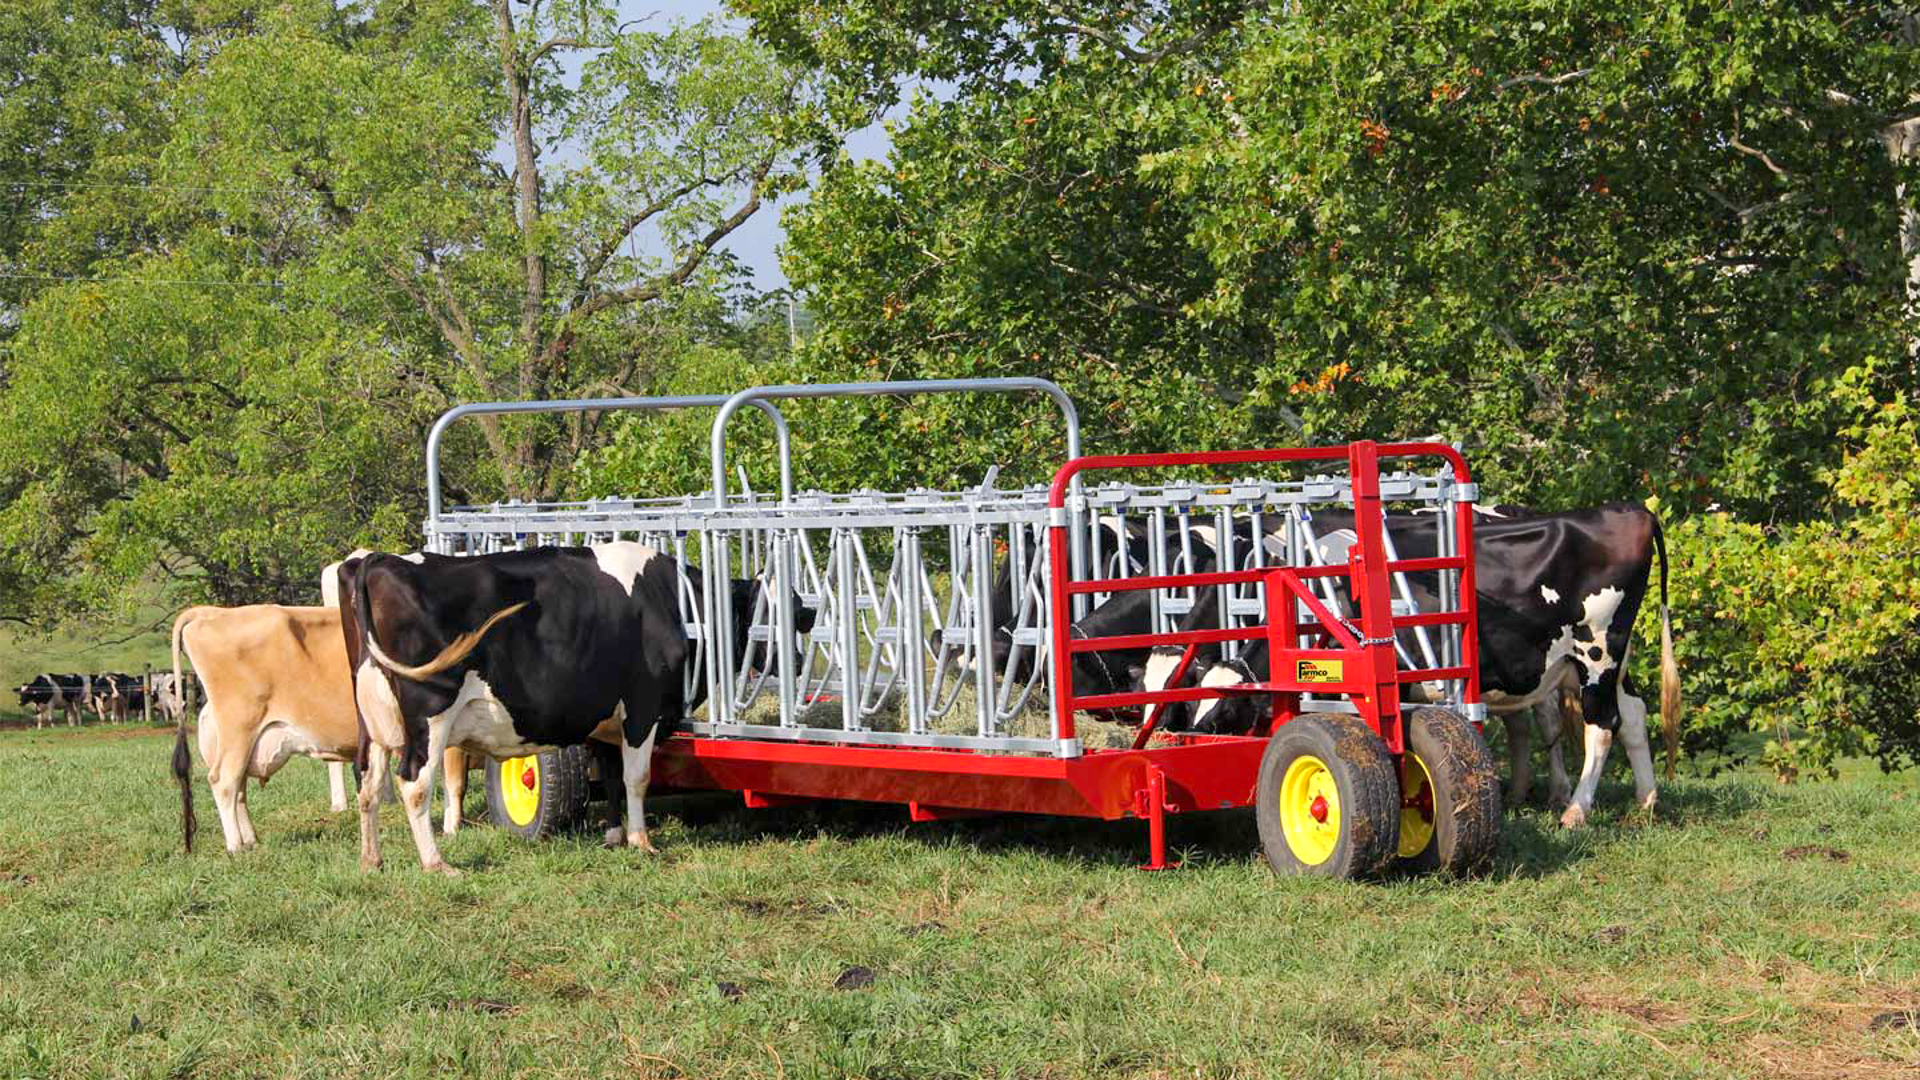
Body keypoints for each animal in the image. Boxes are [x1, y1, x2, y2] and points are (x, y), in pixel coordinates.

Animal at [345, 541, 691, 868]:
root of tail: (382, 560)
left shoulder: (607, 717)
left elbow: (612, 775)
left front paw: (614, 835)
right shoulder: (643, 706)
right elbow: (636, 777)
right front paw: (640, 841)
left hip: (373, 724)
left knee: (368, 783)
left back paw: (371, 860)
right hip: (430, 712)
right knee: (415, 783)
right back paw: (435, 863)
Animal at [1144, 503, 1674, 822]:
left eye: (1227, 713)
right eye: (1177, 701)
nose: (1181, 741)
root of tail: (1628, 511)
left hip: (1597, 651)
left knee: (1600, 726)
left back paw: (1575, 811)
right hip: (1606, 660)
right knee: (1631, 715)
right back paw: (1646, 801)